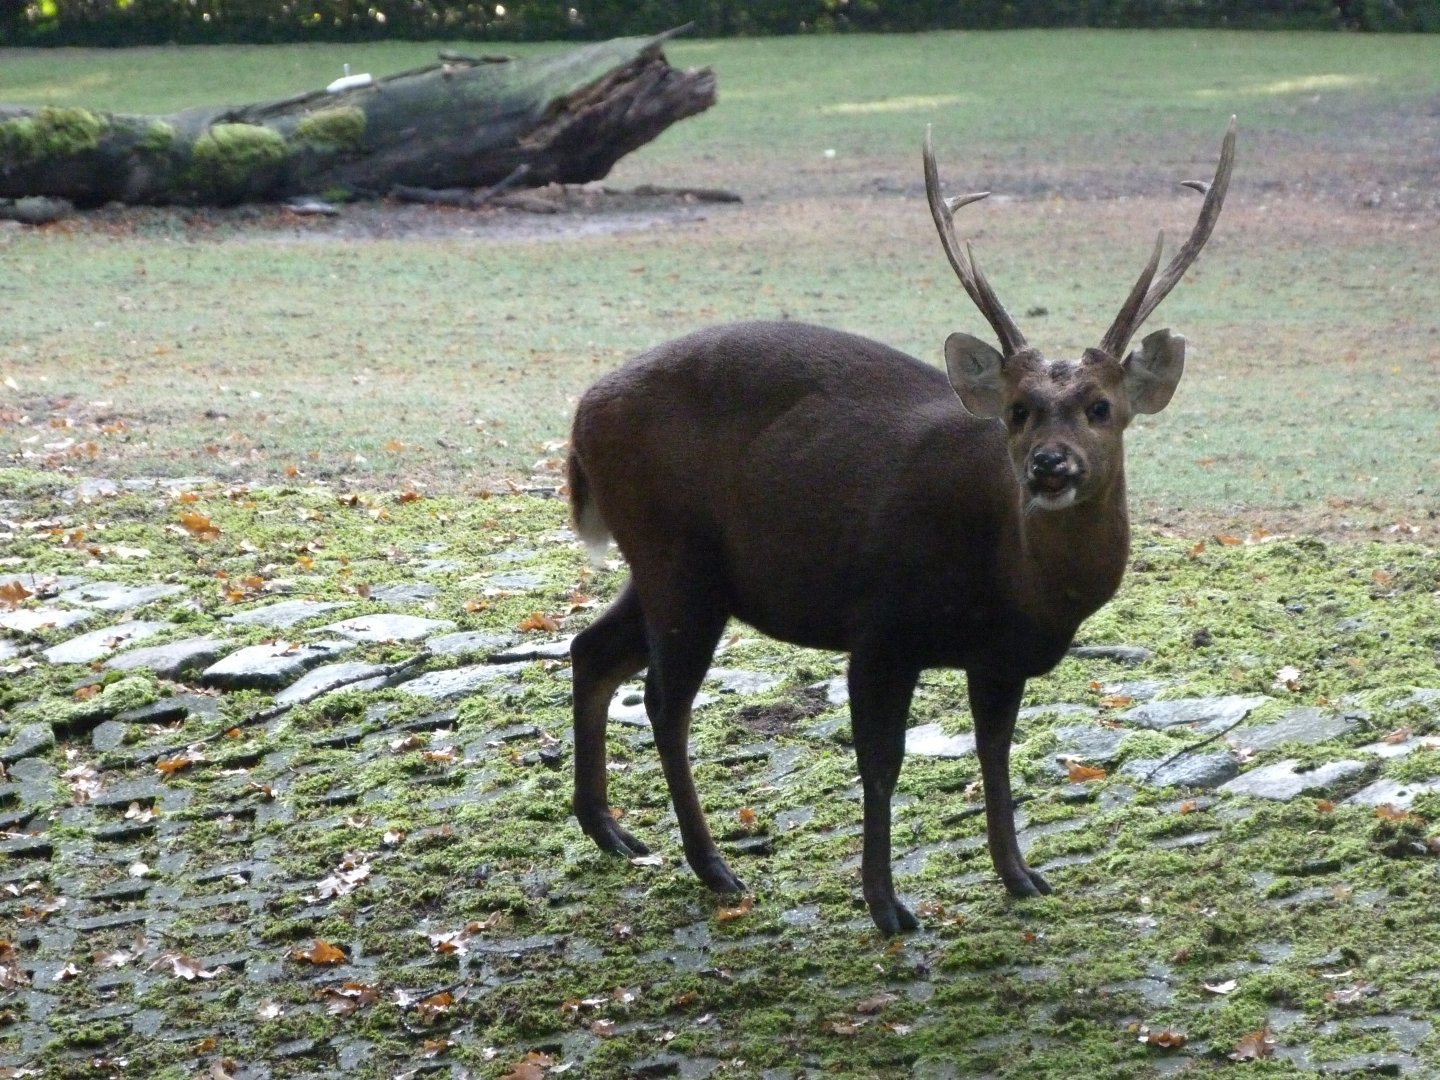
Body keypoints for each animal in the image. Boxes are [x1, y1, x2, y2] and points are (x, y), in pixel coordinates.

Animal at [566, 118, 1235, 934]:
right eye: (1018, 410)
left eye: (1101, 407)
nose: (1049, 465)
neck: (1014, 587)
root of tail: (582, 414)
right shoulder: (882, 626)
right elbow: (881, 765)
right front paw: (888, 906)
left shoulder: (999, 656)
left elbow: (995, 754)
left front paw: (1021, 876)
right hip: (676, 556)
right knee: (666, 701)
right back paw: (714, 867)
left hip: (676, 566)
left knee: (590, 650)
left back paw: (612, 832)